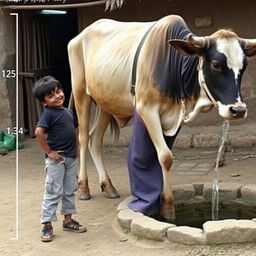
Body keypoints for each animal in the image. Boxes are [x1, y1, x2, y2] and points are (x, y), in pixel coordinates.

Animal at [68, 14, 256, 218]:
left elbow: (163, 155)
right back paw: (83, 188)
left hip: (105, 102)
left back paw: (108, 186)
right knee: (83, 139)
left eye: (244, 66)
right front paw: (167, 207)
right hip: (81, 93)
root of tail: (79, 36)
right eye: (216, 64)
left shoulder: (174, 118)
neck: (174, 68)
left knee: (95, 140)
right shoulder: (147, 109)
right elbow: (165, 156)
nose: (238, 110)